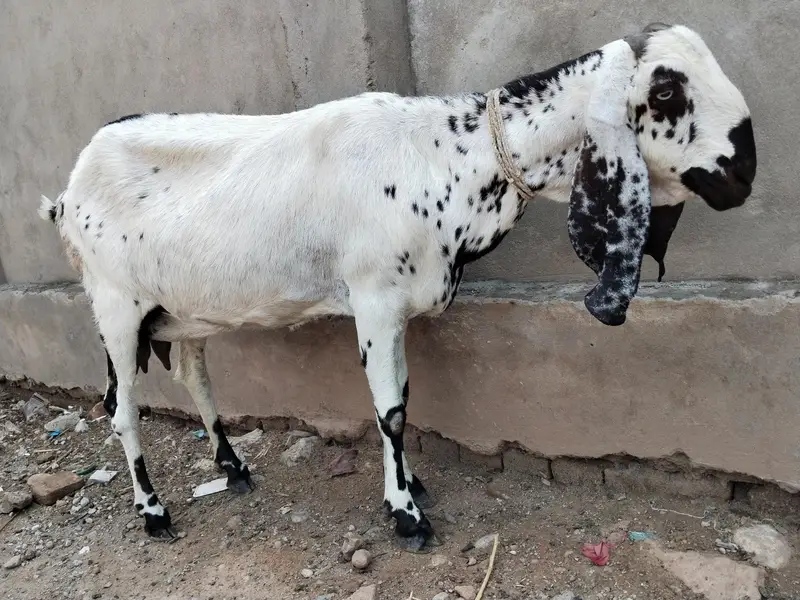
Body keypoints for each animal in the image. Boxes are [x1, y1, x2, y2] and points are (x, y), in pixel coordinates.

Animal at [39, 23, 756, 550]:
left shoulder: (401, 306)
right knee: (121, 409)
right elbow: (390, 411)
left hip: (184, 312)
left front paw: (412, 487)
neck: (444, 155)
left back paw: (233, 466)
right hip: (115, 307)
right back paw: (153, 511)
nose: (744, 172)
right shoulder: (375, 301)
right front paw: (406, 514)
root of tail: (67, 194)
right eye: (665, 92)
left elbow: (404, 400)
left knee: (194, 376)